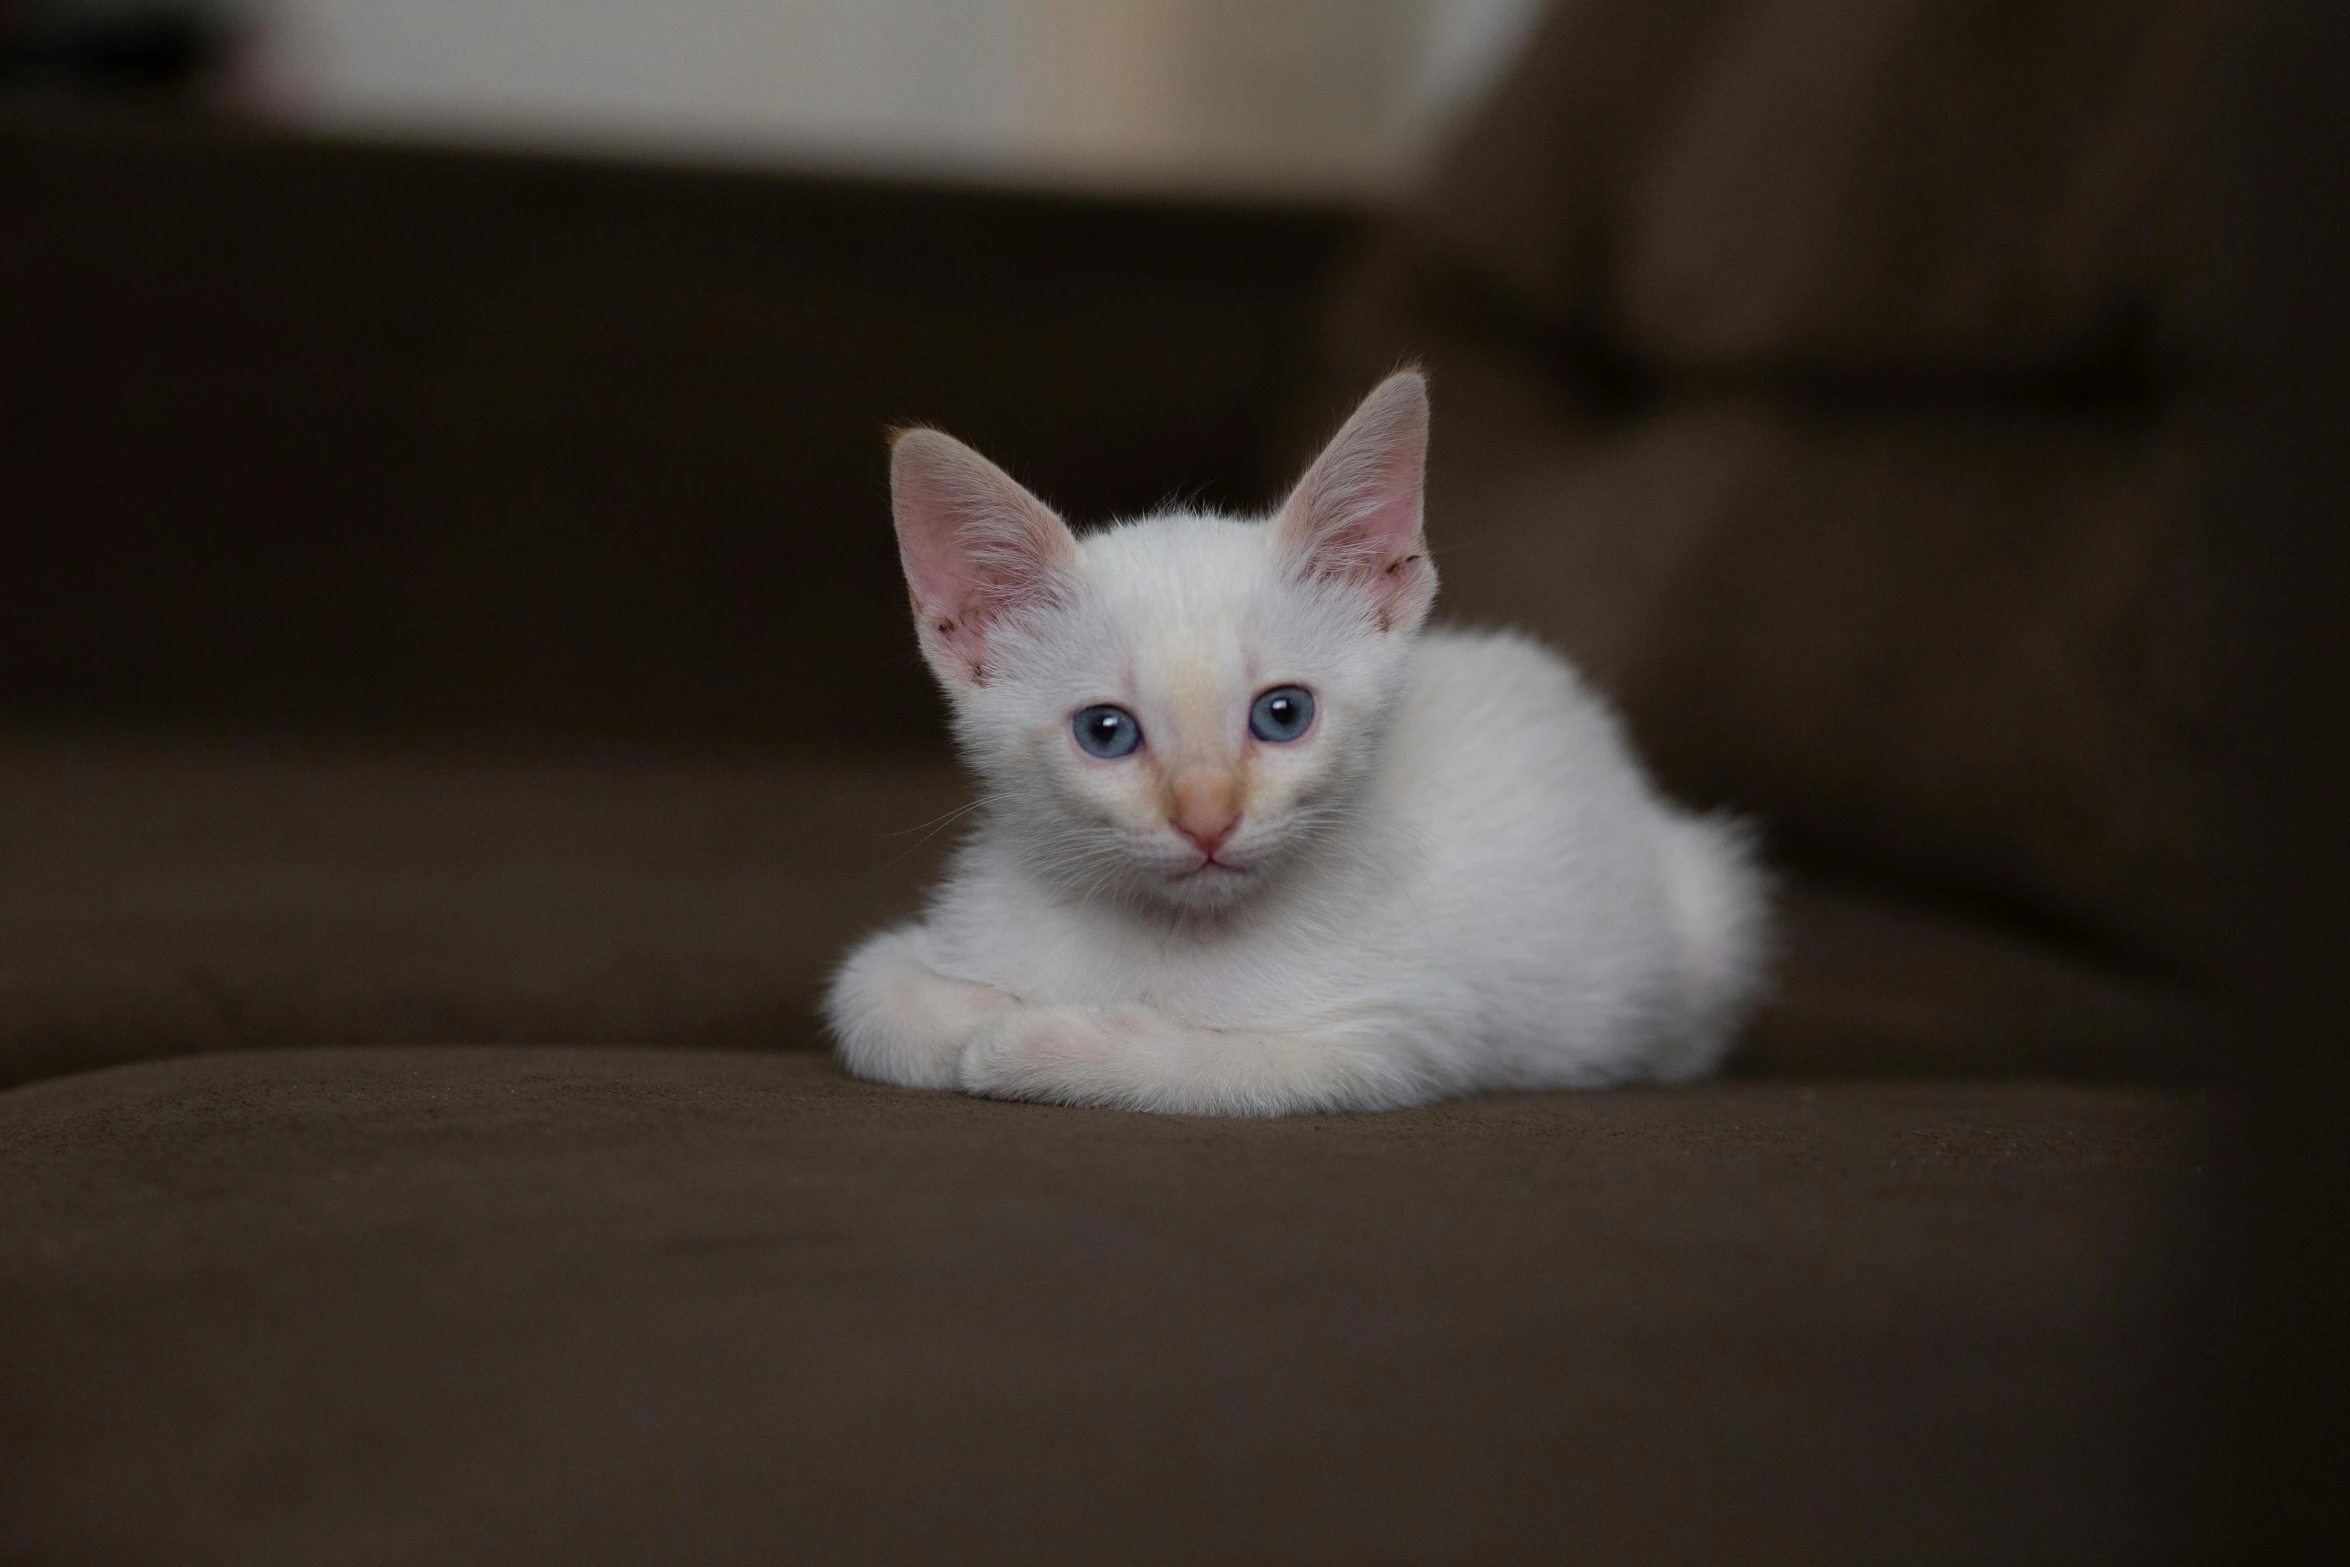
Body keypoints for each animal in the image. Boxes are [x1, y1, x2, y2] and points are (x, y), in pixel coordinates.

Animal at [827, 371, 1767, 1113]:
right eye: (1107, 731)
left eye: (1282, 714)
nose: (1208, 818)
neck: (1168, 932)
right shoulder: (920, 944)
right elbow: (867, 996)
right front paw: (983, 1012)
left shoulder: (1401, 1031)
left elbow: (1218, 1064)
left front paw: (1036, 1039)